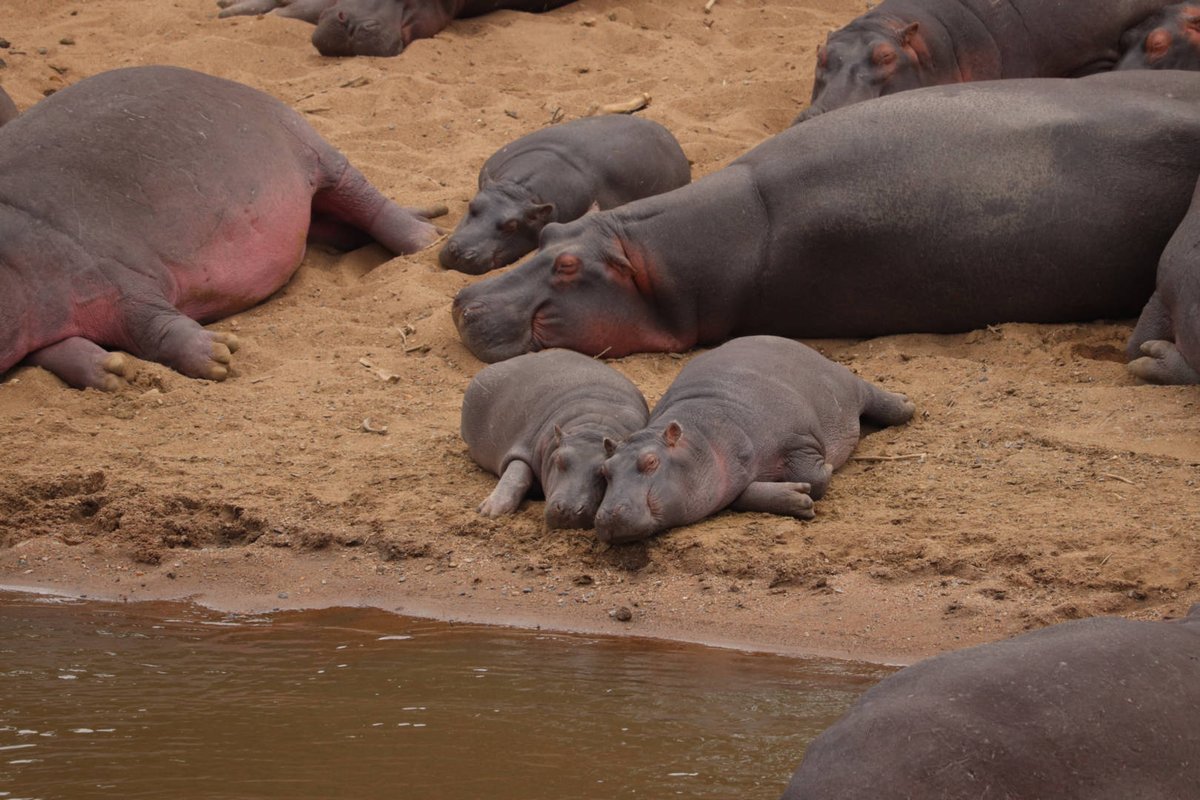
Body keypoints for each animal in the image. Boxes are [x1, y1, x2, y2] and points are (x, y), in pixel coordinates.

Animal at [0, 65, 441, 391]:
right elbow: (55, 351)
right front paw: (111, 373)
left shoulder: (110, 272)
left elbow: (149, 319)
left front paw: (218, 355)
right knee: (341, 224)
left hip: (312, 149)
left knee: (364, 196)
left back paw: (428, 241)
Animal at [460, 349, 649, 528]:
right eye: (558, 460)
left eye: (603, 471)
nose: (569, 510)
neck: (594, 426)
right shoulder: (526, 447)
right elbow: (516, 475)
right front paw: (489, 512)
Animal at [592, 337, 913, 543]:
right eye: (604, 470)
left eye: (650, 461)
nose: (607, 516)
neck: (702, 436)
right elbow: (743, 495)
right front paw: (798, 498)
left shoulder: (799, 438)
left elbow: (817, 477)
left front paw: (823, 472)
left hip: (845, 384)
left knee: (875, 396)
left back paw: (906, 404)